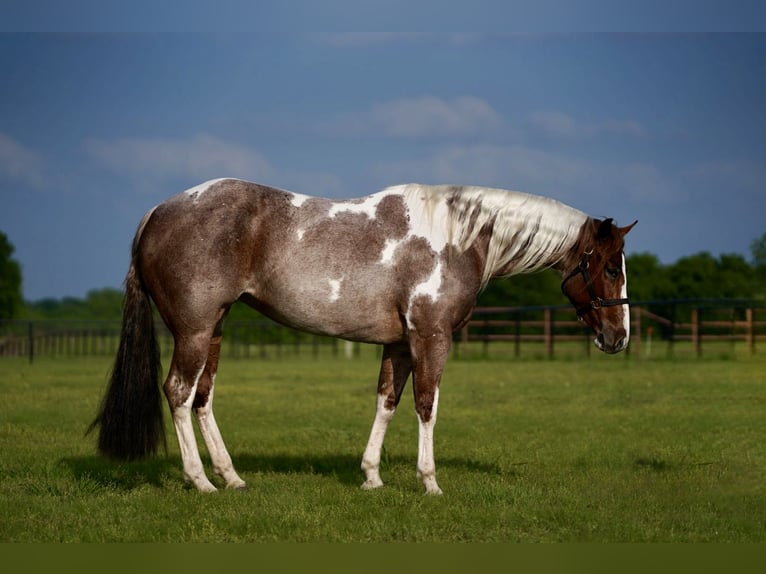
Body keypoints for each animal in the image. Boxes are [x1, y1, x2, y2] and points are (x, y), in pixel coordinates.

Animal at [88, 180, 636, 496]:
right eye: (611, 268)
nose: (619, 337)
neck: (459, 237)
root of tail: (157, 212)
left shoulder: (399, 343)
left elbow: (387, 402)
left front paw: (371, 476)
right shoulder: (431, 337)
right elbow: (426, 405)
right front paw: (429, 482)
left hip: (215, 329)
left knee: (203, 399)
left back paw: (231, 477)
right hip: (195, 330)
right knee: (179, 394)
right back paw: (201, 482)